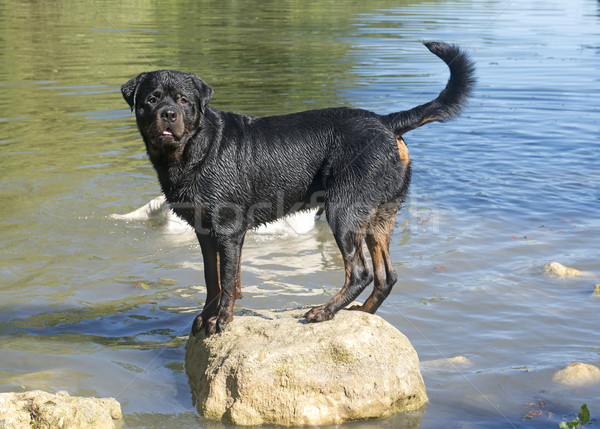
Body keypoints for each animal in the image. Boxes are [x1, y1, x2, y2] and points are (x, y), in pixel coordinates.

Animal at [122, 41, 476, 334]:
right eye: (152, 99)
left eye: (183, 100)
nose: (168, 113)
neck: (195, 151)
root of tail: (387, 122)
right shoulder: (205, 231)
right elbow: (214, 278)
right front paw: (205, 316)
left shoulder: (228, 229)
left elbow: (227, 278)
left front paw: (221, 320)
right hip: (379, 216)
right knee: (386, 275)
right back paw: (362, 313)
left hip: (344, 211)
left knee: (360, 272)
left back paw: (324, 311)